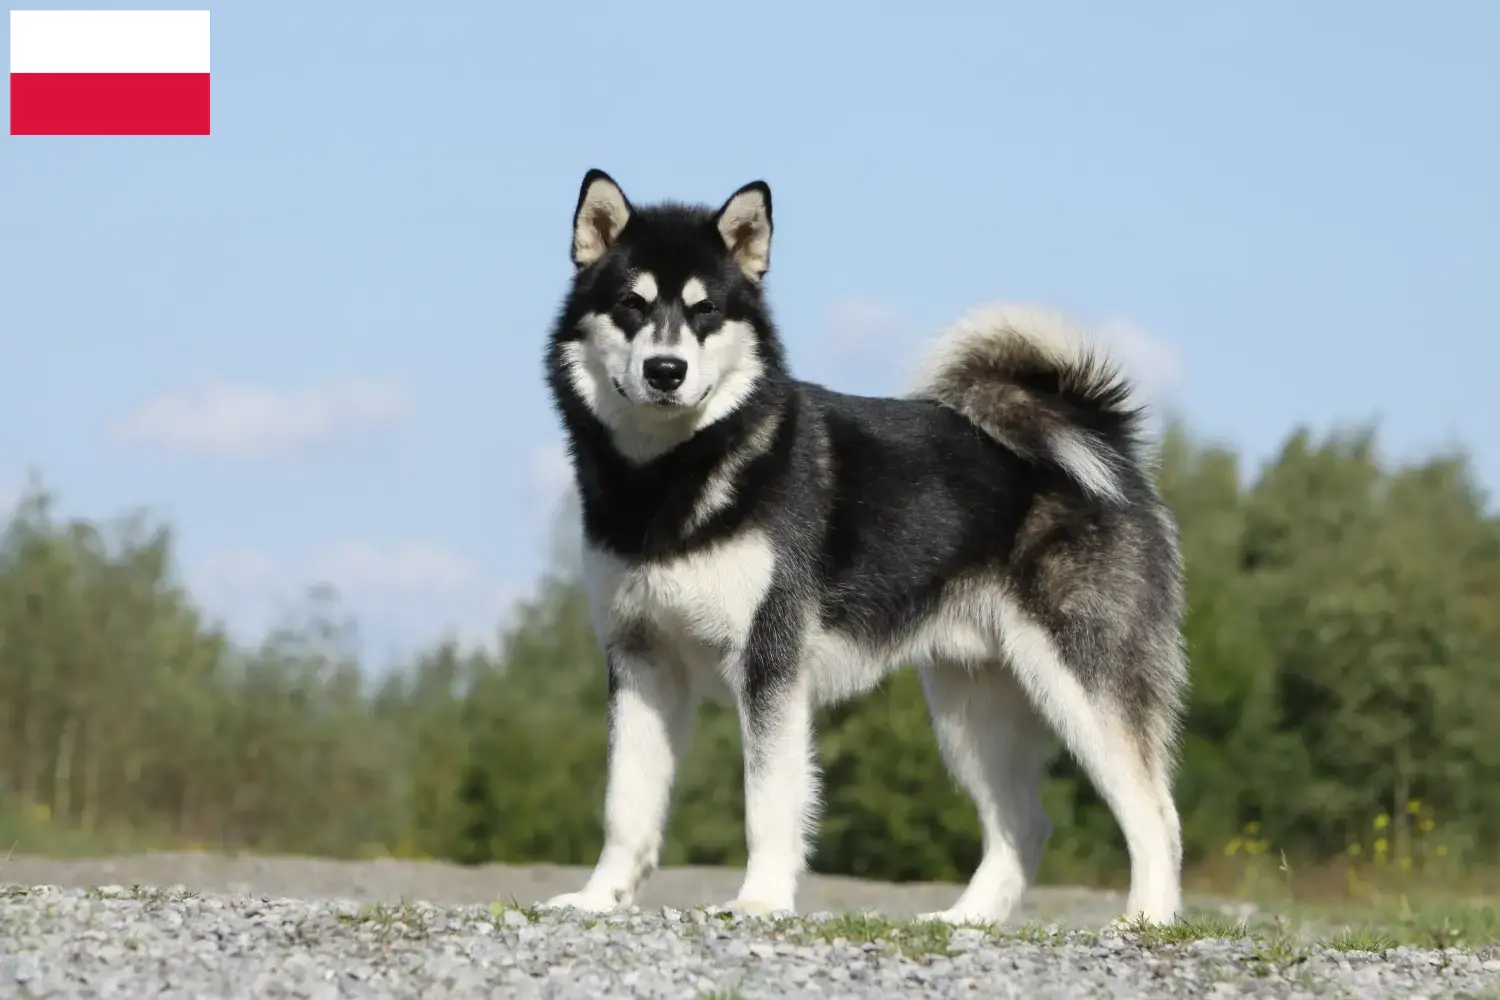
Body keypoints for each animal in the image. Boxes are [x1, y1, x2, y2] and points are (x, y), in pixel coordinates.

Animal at [537, 167, 1182, 929]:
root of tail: (1098, 438)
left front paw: (760, 900)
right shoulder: (640, 659)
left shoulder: (770, 664)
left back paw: (1148, 920)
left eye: (706, 312)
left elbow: (769, 803)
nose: (666, 370)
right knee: (1024, 825)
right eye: (631, 305)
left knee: (1156, 813)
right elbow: (626, 807)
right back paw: (964, 921)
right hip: (972, 708)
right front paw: (598, 898)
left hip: (1082, 682)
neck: (669, 478)